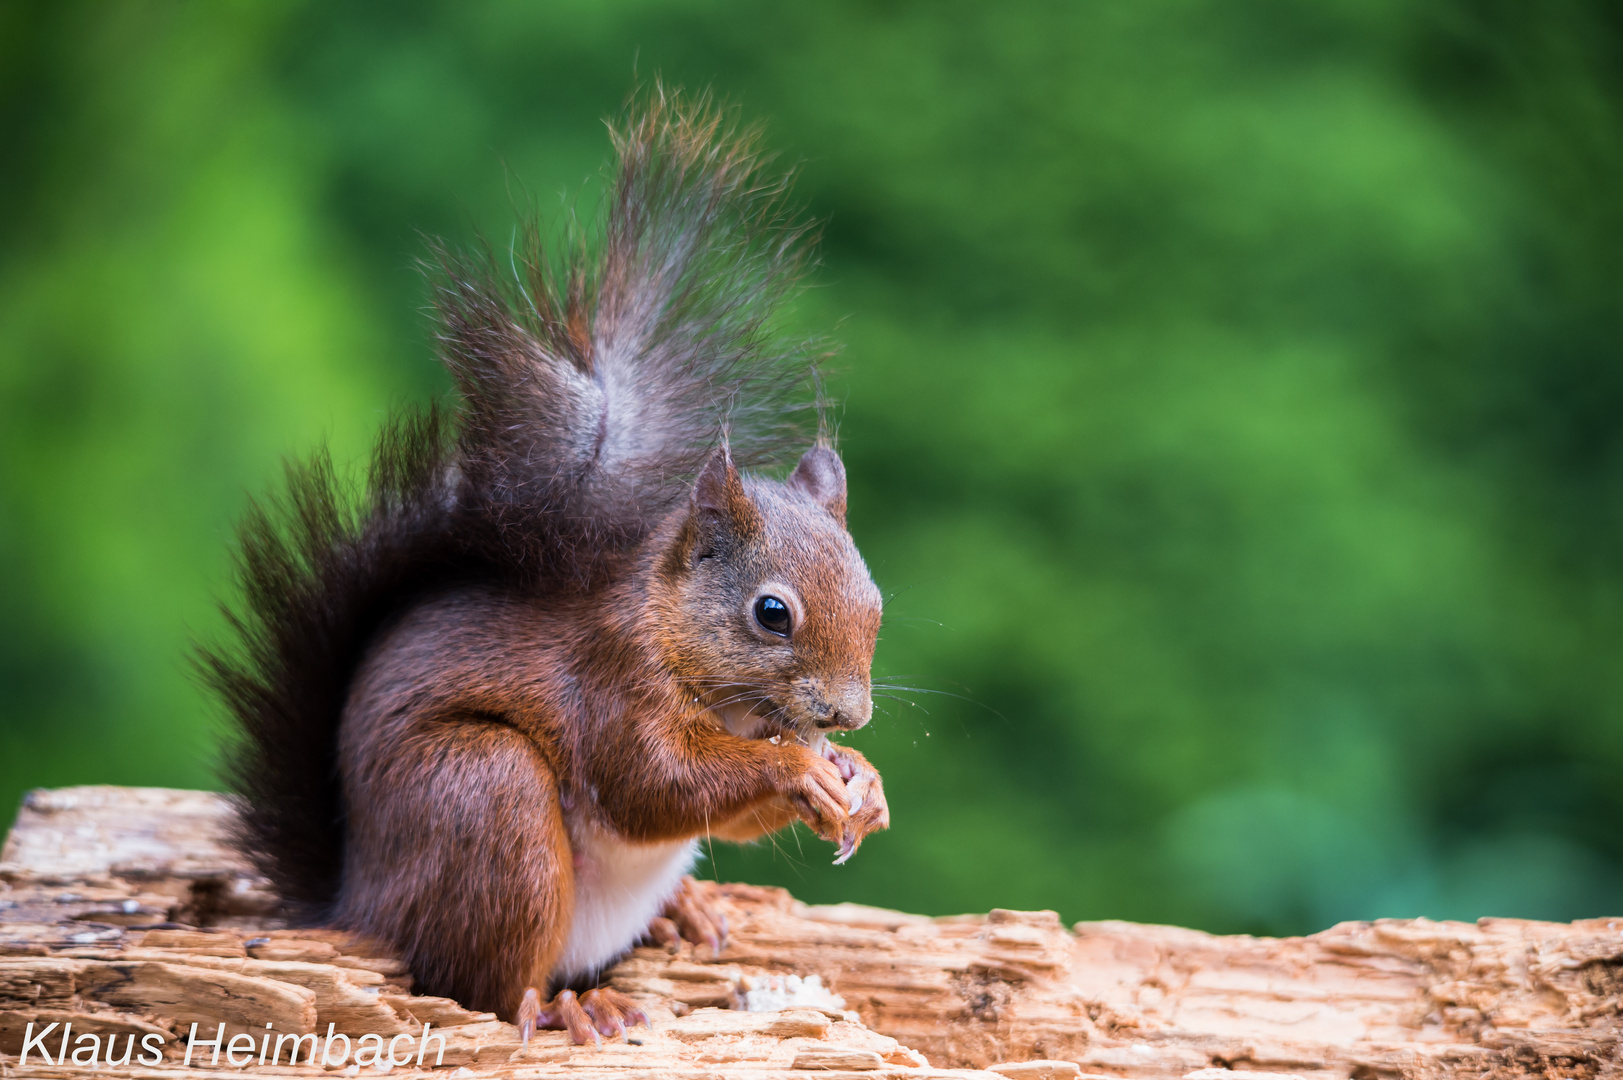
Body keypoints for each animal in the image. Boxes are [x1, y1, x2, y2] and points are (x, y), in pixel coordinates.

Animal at [204, 94, 895, 1045]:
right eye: (771, 613)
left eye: (874, 601)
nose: (848, 716)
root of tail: (358, 901)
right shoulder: (609, 687)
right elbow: (657, 785)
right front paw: (802, 771)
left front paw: (864, 785)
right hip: (487, 798)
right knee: (484, 985)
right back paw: (568, 1006)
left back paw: (682, 914)